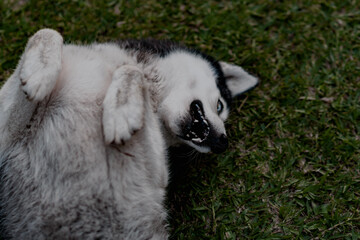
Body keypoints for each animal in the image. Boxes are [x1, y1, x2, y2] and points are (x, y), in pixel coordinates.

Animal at [0, 29, 258, 239]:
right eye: (220, 106)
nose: (222, 143)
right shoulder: (6, 136)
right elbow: (48, 32)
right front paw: (38, 75)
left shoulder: (156, 176)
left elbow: (132, 71)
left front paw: (121, 112)